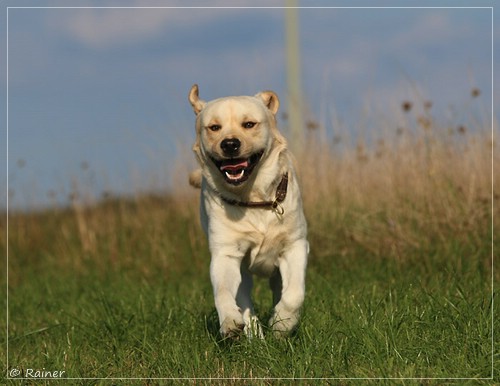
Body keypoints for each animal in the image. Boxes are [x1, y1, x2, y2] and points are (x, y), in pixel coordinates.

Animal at [187, 84, 306, 338]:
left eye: (249, 124)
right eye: (214, 127)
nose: (230, 144)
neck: (253, 199)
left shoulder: (296, 245)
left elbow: (294, 294)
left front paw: (282, 324)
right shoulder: (226, 253)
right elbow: (224, 292)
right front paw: (230, 321)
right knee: (244, 300)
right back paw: (253, 334)